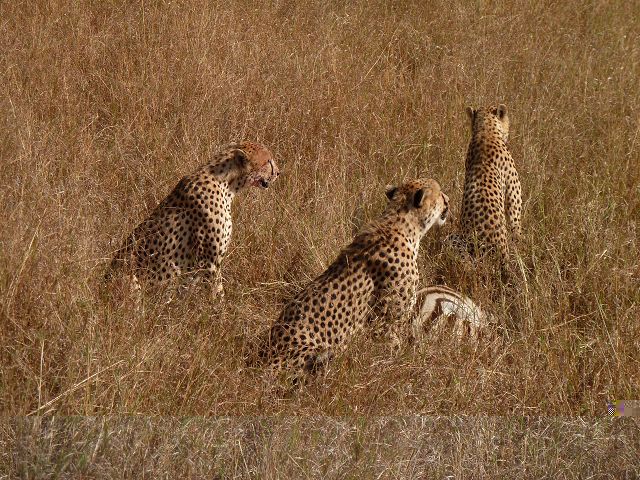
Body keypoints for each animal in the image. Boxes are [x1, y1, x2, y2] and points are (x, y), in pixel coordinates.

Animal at [106, 141, 279, 294]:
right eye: (268, 161)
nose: (278, 173)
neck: (226, 183)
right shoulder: (210, 262)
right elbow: (216, 292)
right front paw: (220, 310)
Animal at [249, 178, 449, 384]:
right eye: (441, 194)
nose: (448, 200)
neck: (403, 225)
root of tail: (263, 361)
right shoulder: (387, 323)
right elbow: (393, 348)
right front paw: (402, 368)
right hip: (317, 352)